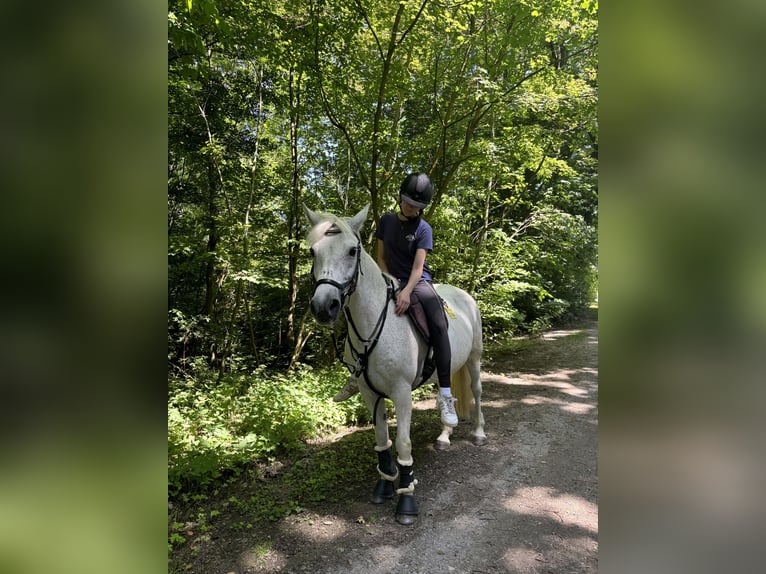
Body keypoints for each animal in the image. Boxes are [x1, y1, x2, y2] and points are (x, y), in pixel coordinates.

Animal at [304, 204, 486, 528]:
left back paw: (478, 433)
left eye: (352, 251)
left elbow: (402, 444)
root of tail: (464, 295)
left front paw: (406, 499)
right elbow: (382, 441)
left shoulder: (401, 393)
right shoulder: (369, 393)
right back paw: (444, 436)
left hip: (474, 358)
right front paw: (384, 485)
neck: (375, 322)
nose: (324, 307)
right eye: (313, 251)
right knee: (447, 393)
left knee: (477, 391)